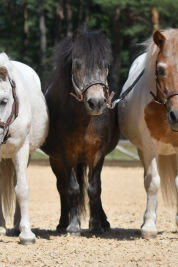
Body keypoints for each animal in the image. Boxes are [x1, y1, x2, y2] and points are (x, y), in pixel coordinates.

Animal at [40, 28, 119, 236]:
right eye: (77, 65)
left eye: (105, 65)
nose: (96, 102)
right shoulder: (67, 154)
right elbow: (72, 188)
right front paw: (74, 226)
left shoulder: (98, 154)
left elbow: (94, 188)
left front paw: (96, 226)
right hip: (57, 161)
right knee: (61, 188)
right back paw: (62, 223)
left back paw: (104, 222)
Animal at [119, 29, 178, 241]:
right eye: (160, 70)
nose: (177, 116)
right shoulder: (150, 145)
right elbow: (152, 182)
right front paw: (149, 226)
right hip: (142, 150)